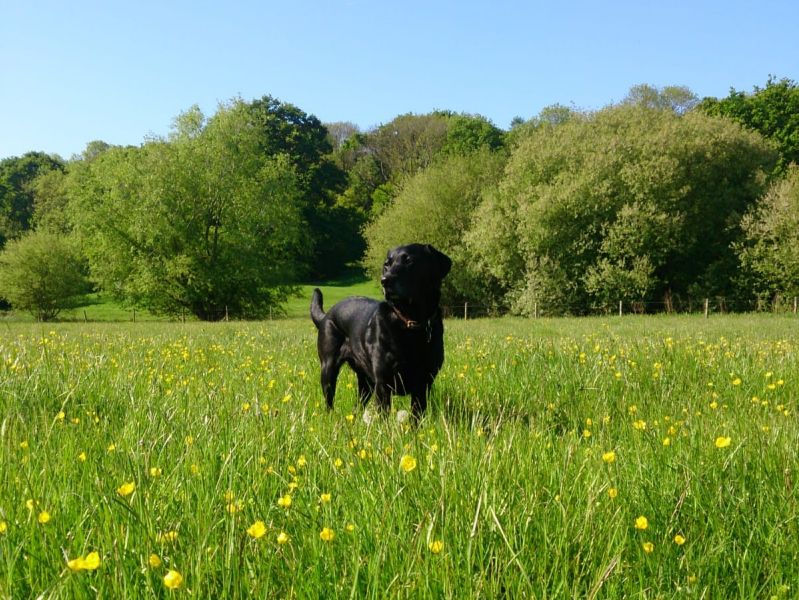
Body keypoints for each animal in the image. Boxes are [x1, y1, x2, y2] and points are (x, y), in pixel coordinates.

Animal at [310, 243, 450, 418]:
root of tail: (326, 315)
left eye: (409, 261)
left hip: (366, 382)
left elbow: (416, 415)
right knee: (329, 401)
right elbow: (384, 415)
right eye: (386, 265)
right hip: (328, 369)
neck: (410, 323)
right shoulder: (383, 383)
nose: (385, 280)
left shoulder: (423, 384)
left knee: (358, 405)